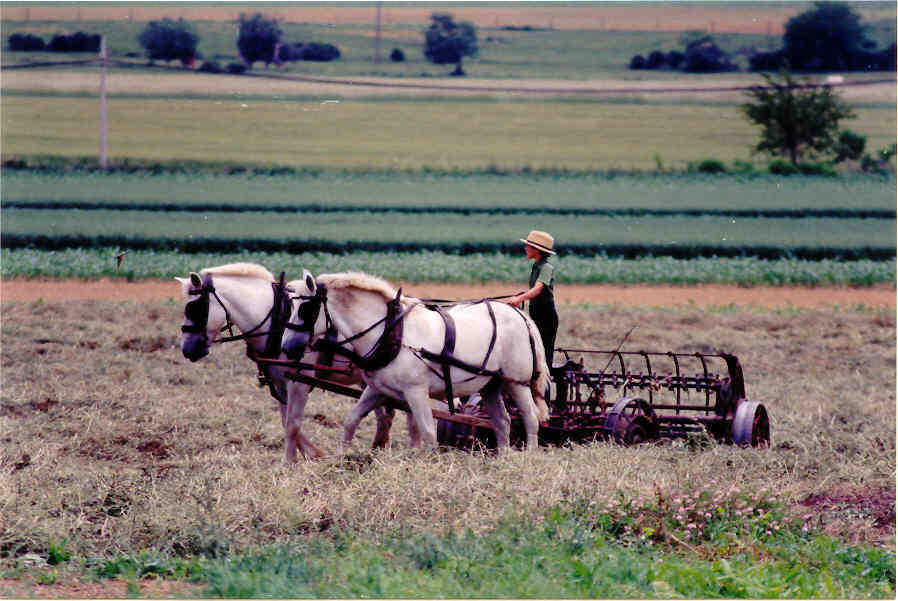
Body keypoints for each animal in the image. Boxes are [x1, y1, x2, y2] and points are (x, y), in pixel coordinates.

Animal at [175, 262, 412, 464]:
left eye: (195, 308)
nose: (187, 350)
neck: (277, 323)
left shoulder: (298, 383)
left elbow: (292, 424)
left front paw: (290, 462)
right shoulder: (279, 383)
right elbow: (286, 421)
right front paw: (310, 454)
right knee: (385, 414)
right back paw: (377, 448)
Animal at [280, 270, 548, 450]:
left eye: (306, 310)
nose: (286, 347)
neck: (391, 332)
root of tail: (520, 315)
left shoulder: (416, 391)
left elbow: (428, 434)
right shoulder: (376, 389)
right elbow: (351, 421)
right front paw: (341, 459)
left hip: (517, 383)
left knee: (530, 420)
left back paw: (527, 458)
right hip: (491, 385)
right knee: (502, 422)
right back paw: (503, 459)